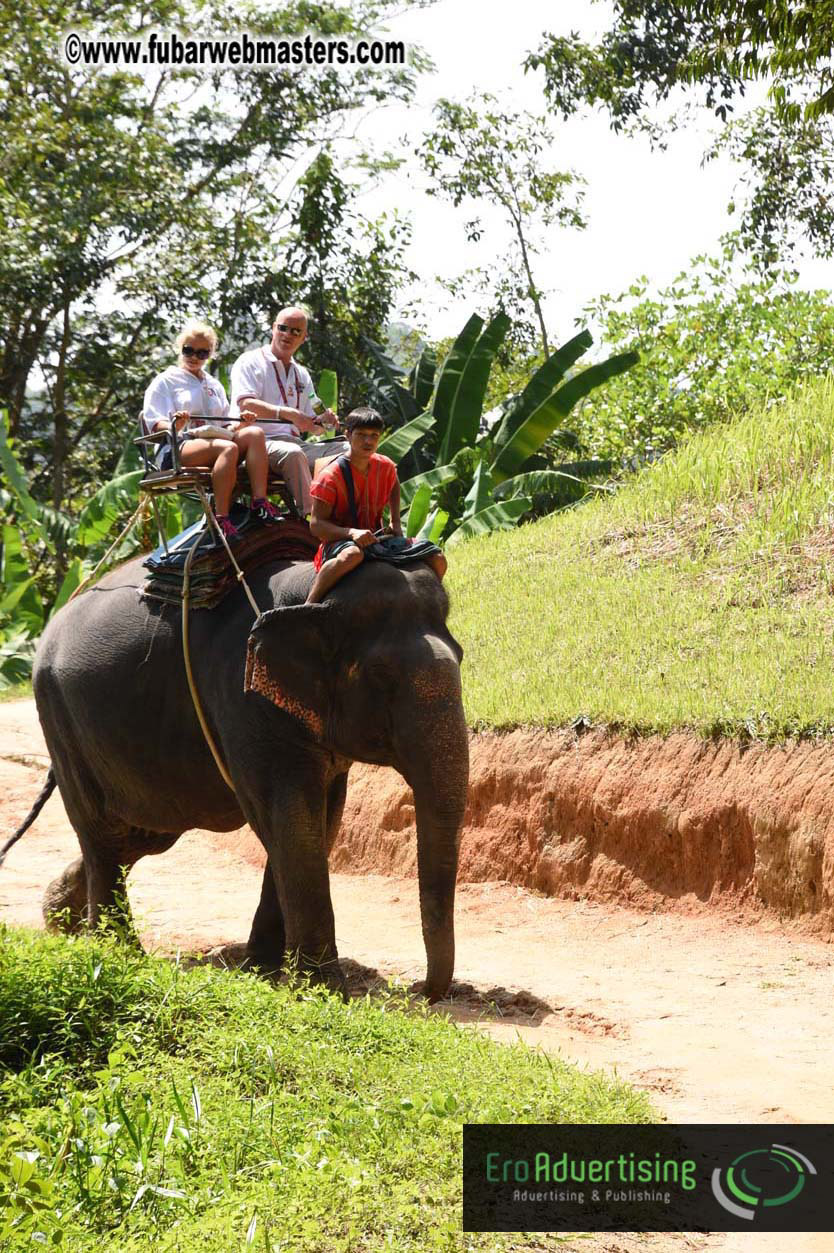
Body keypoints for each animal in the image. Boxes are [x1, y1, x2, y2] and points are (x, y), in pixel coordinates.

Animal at [15, 548, 468, 1001]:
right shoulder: (242, 696)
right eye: (380, 675)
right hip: (60, 723)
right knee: (104, 836)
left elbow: (322, 820)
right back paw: (118, 953)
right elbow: (289, 818)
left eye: (461, 657)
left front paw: (261, 972)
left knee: (142, 836)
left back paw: (60, 919)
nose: (420, 990)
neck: (312, 593)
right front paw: (319, 991)